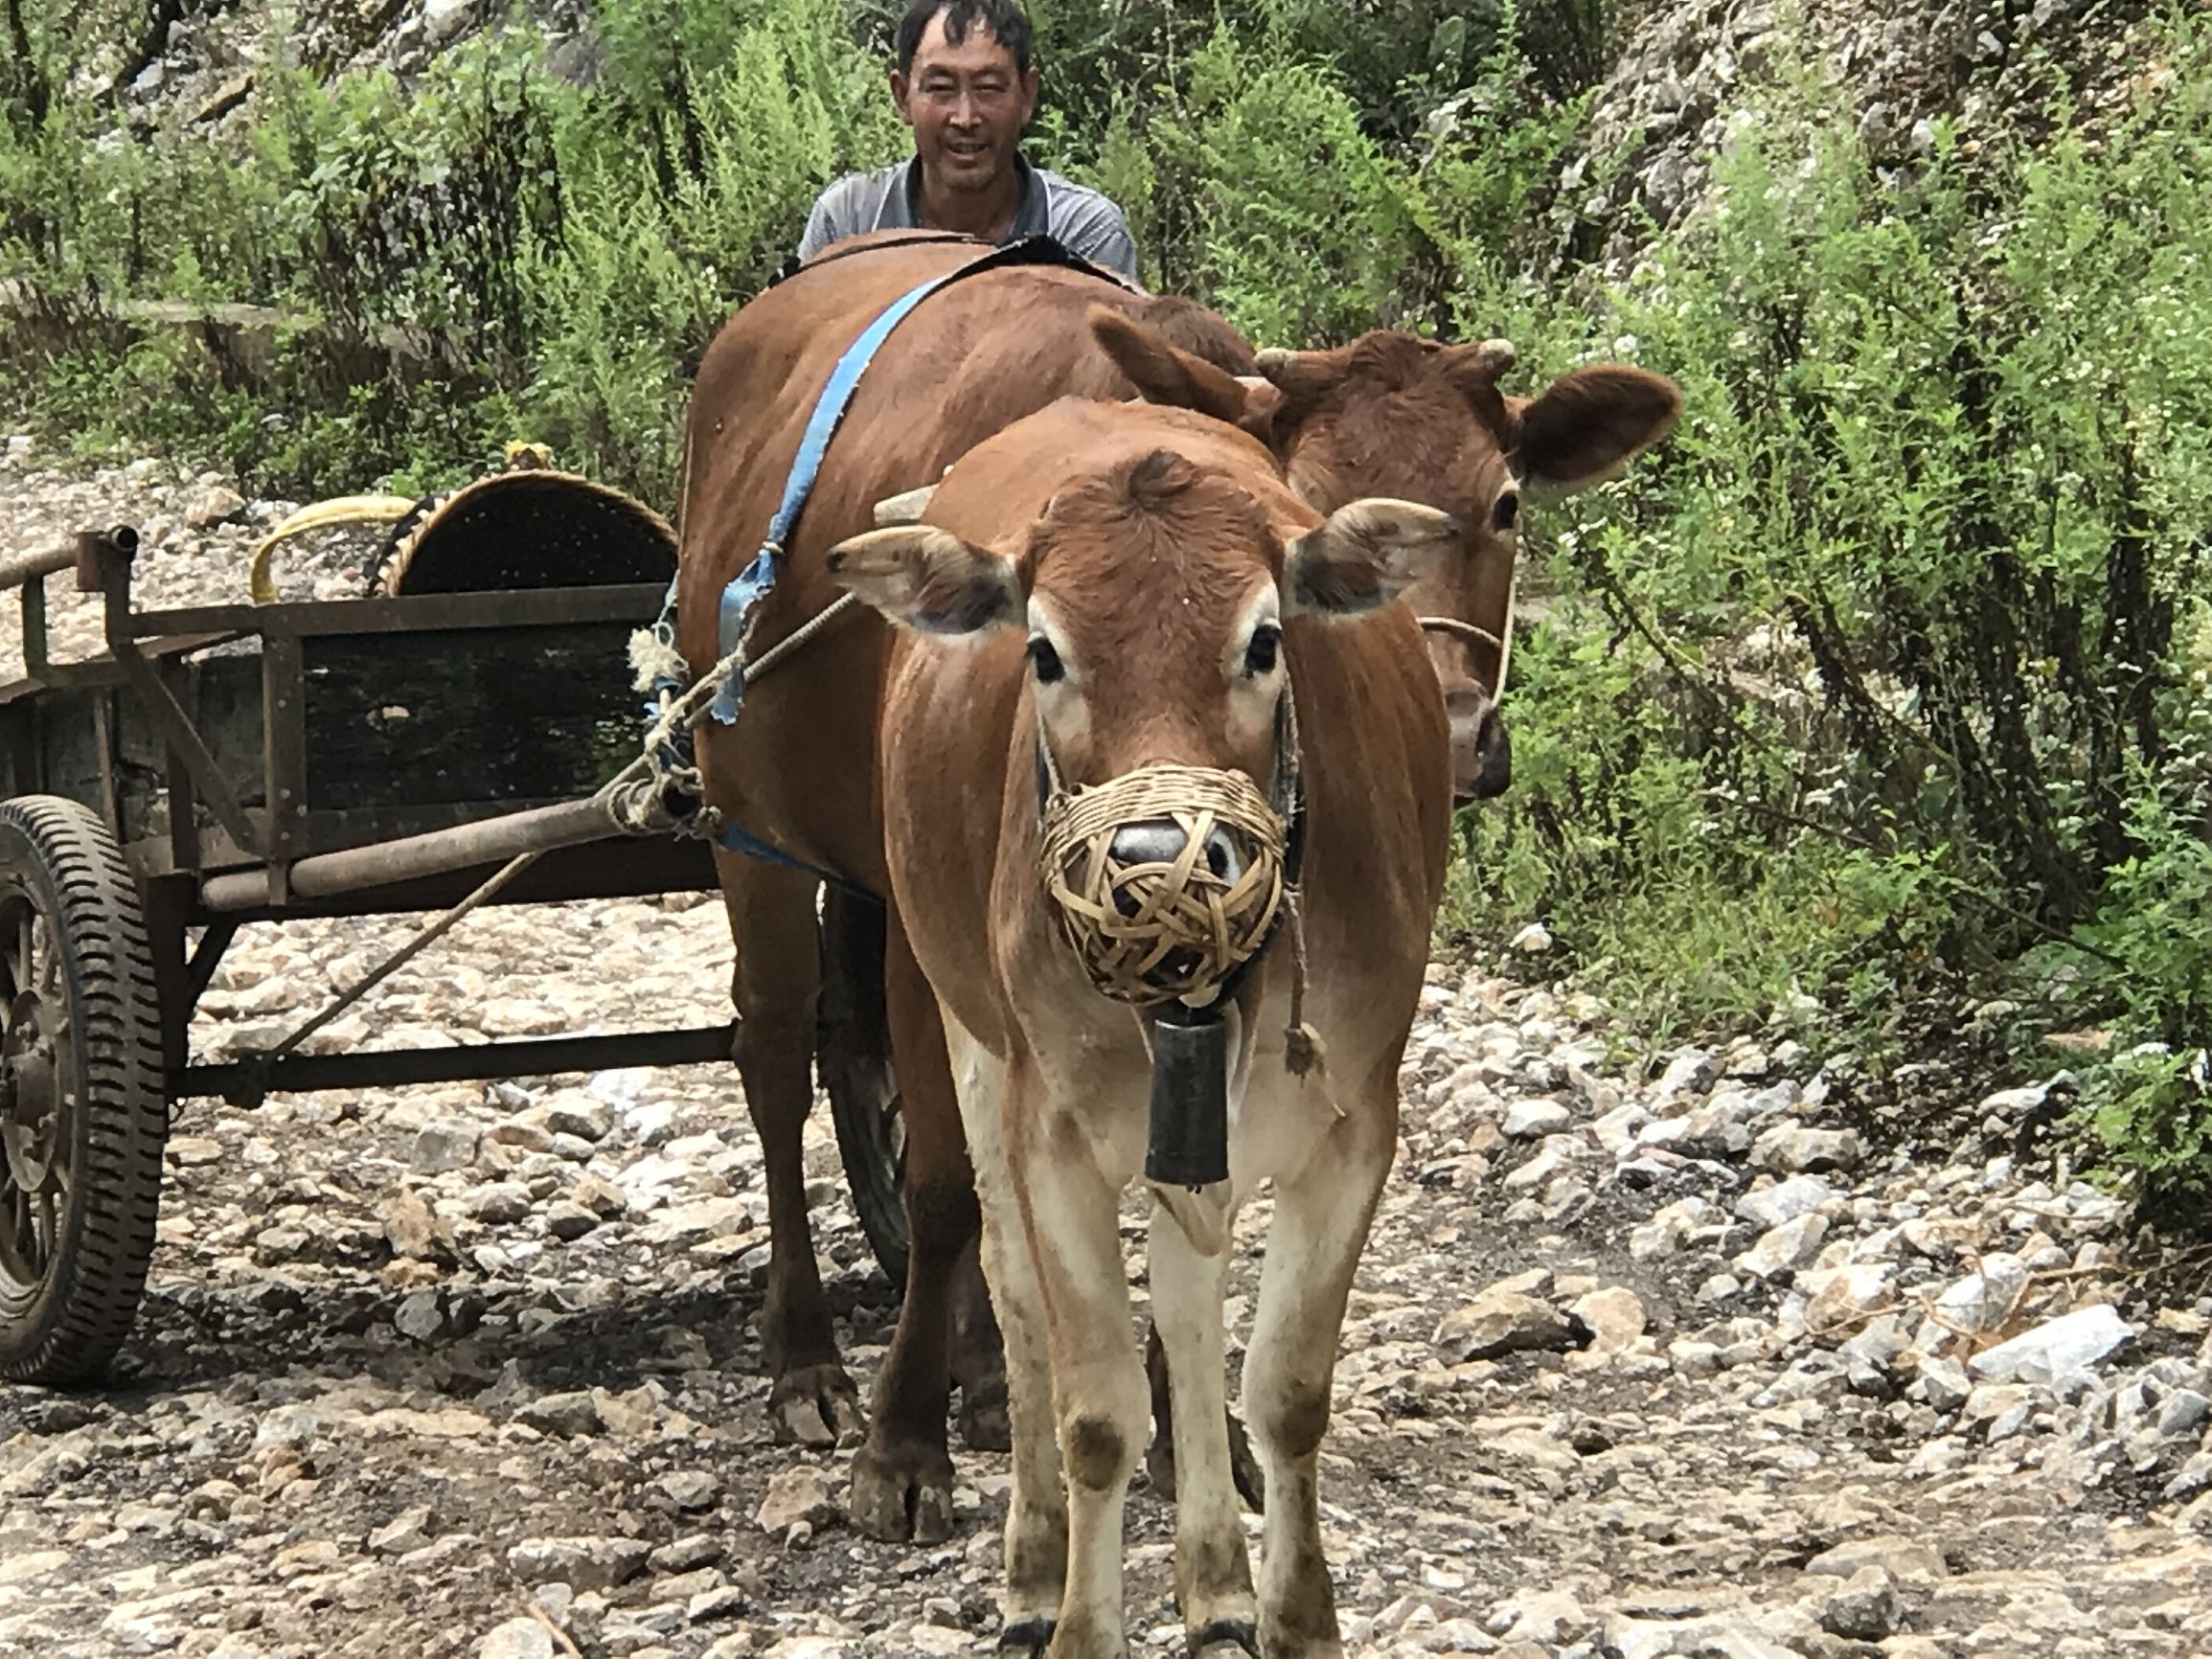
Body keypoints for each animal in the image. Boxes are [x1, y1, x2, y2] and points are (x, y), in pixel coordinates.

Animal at [832, 387, 1450, 1654]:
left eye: (1264, 640)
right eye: (1043, 651)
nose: (1159, 855)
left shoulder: (1355, 1122)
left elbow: (1284, 1391)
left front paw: (1294, 1615)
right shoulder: (1052, 1131)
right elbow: (1099, 1411)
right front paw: (1082, 1623)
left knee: (1183, 1291)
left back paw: (1214, 1579)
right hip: (965, 1041)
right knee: (1008, 1286)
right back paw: (1031, 1566)